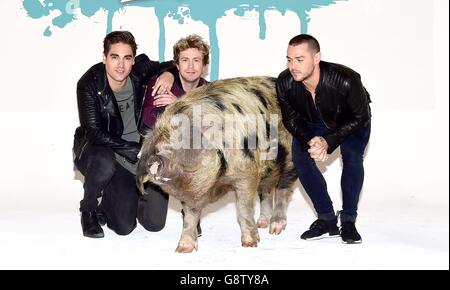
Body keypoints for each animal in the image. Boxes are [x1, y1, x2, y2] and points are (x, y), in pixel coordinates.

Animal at [137, 76, 298, 251]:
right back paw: (262, 224)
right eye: (157, 147)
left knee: (283, 190)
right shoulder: (191, 192)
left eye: (180, 145)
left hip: (290, 160)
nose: (155, 160)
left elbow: (243, 211)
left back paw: (275, 229)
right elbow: (190, 217)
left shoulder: (247, 174)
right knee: (266, 190)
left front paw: (250, 244)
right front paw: (182, 250)